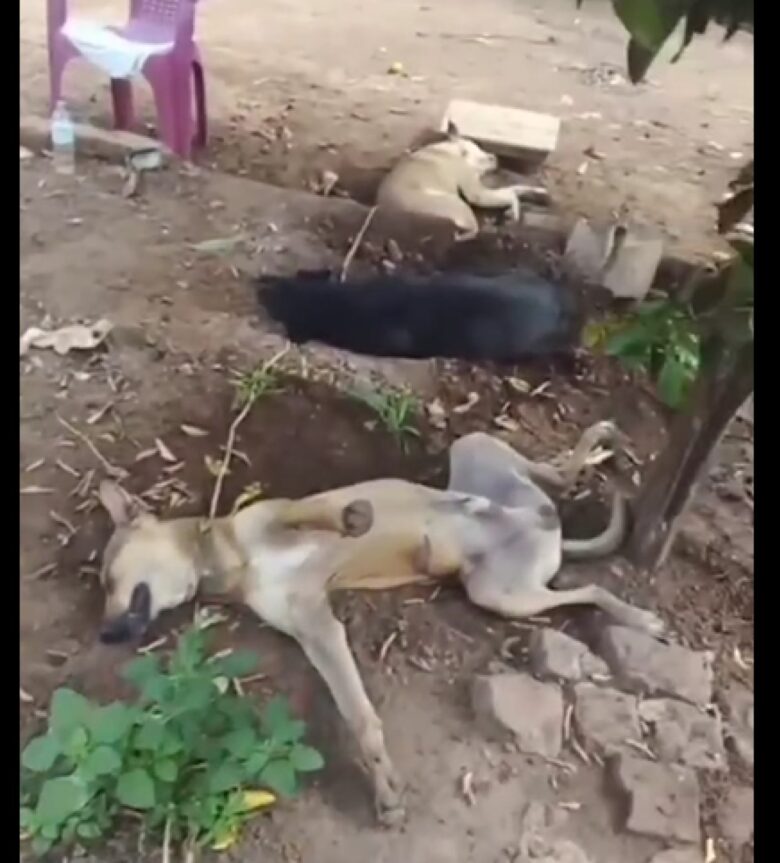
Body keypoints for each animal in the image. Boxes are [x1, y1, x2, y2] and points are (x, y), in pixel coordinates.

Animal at [94, 422, 660, 828]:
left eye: (108, 577)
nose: (104, 633)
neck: (228, 559)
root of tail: (549, 530)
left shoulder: (286, 515)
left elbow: (316, 511)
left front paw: (352, 520)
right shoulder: (316, 628)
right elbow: (359, 717)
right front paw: (384, 791)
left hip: (479, 458)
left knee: (565, 490)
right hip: (500, 591)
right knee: (580, 579)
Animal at [376, 123, 544, 241]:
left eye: (481, 149)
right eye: (483, 158)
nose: (494, 158)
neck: (452, 149)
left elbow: (514, 189)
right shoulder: (472, 186)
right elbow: (509, 193)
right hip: (455, 204)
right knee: (473, 229)